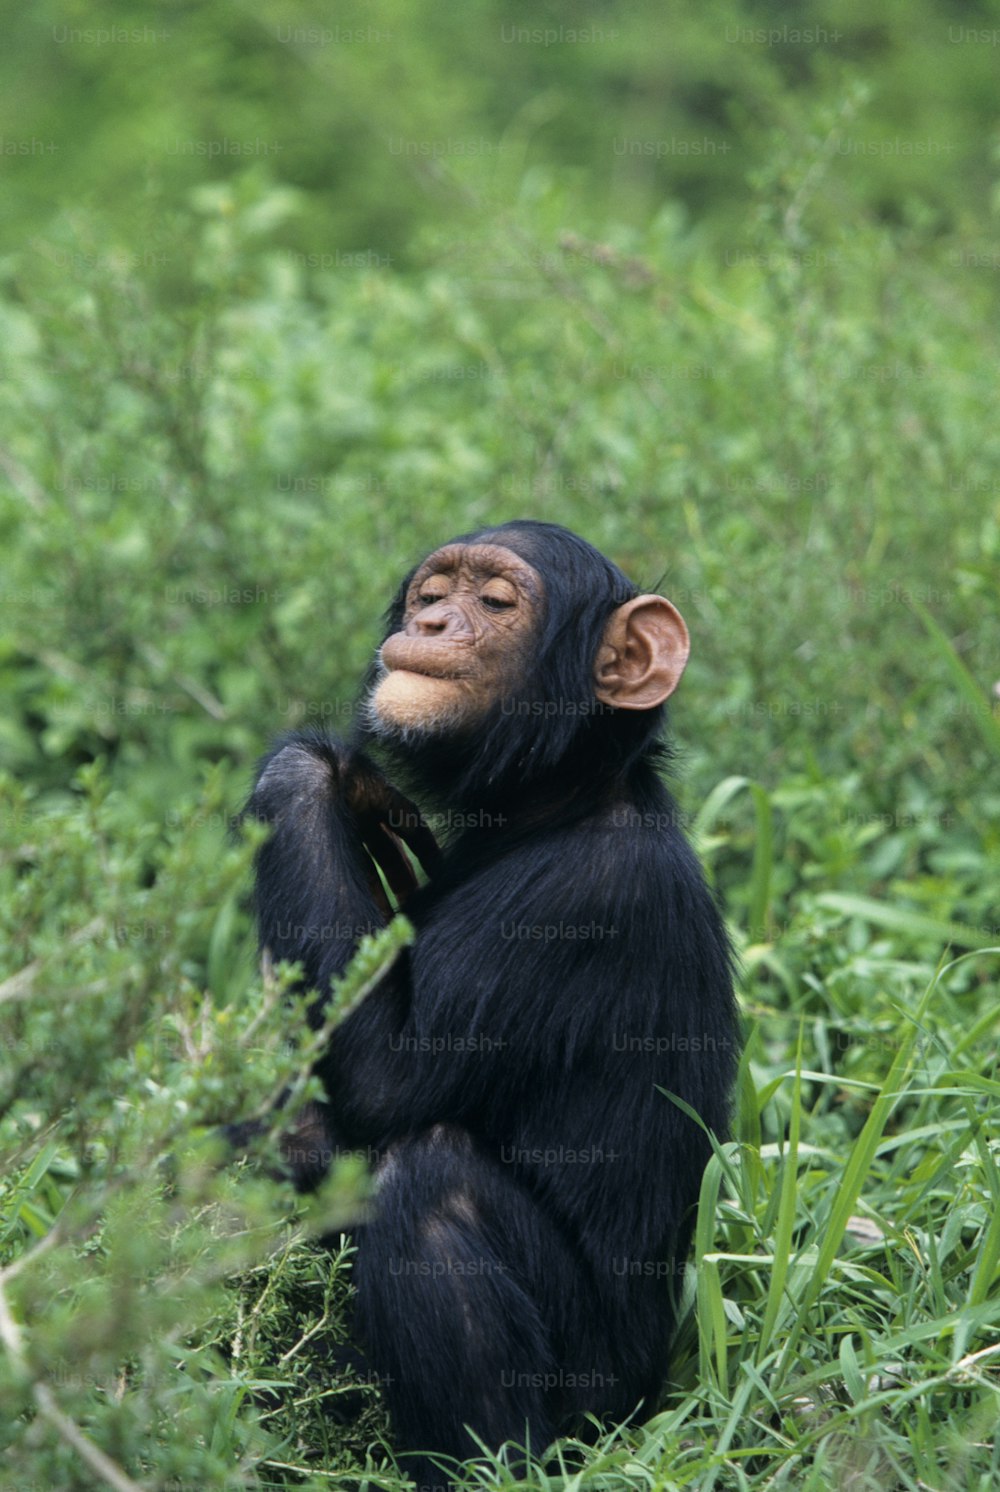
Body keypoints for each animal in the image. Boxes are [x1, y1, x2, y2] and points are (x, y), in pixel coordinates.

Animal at [244, 519, 737, 1486]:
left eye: (497, 600)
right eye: (435, 589)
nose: (432, 622)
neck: (552, 807)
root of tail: (652, 1395)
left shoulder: (578, 904)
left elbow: (386, 1081)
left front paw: (318, 771)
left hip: (594, 1396)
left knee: (431, 1181)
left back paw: (497, 1464)